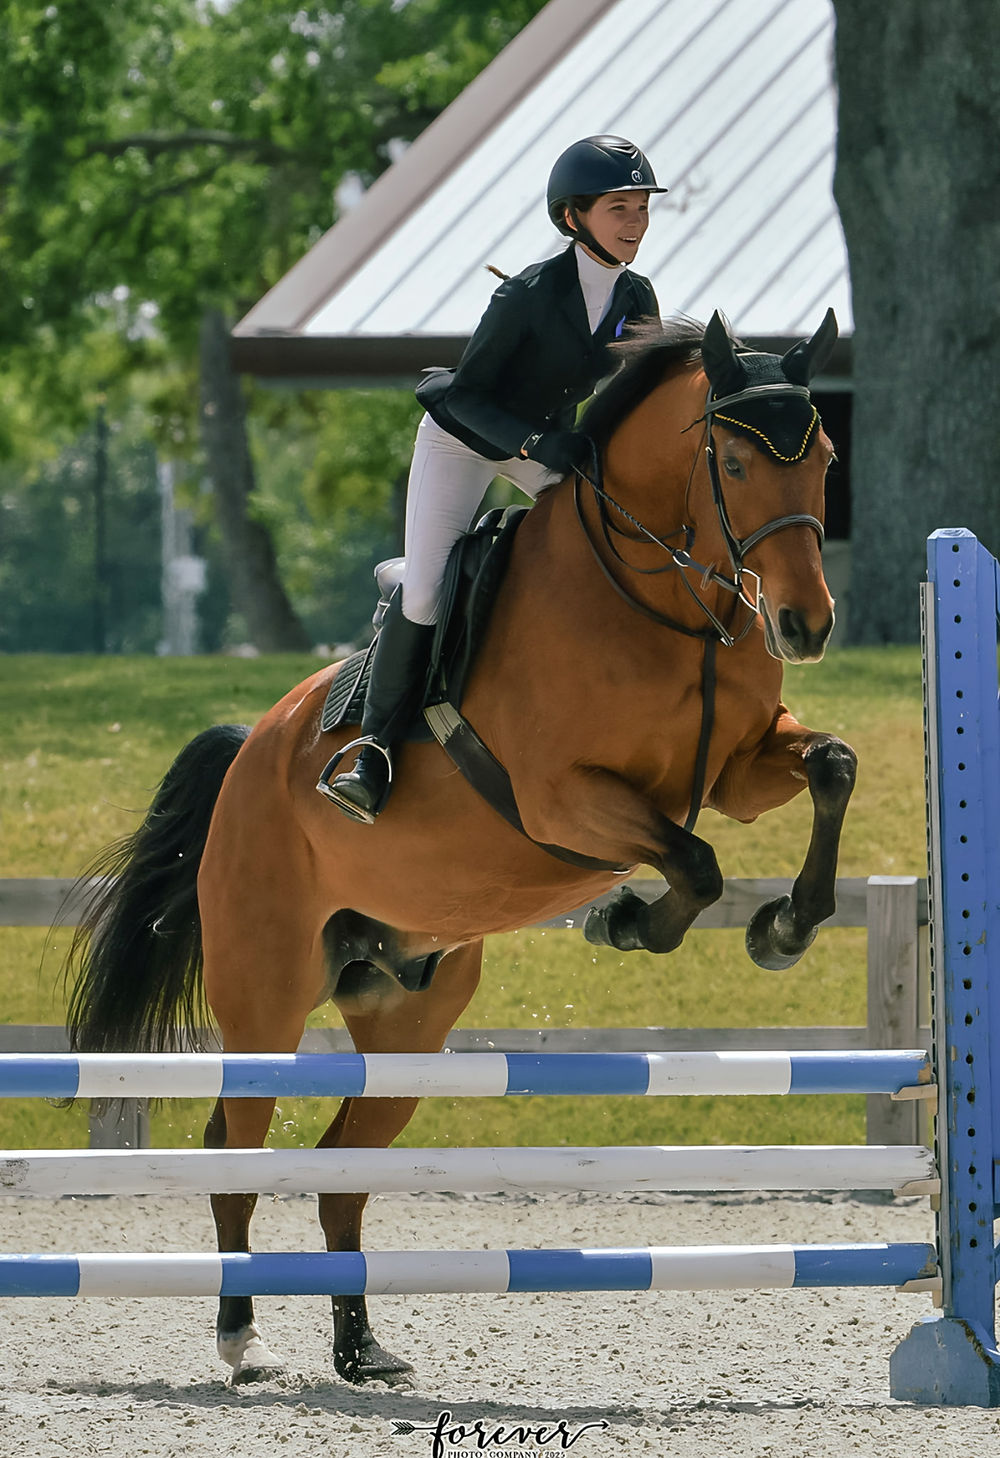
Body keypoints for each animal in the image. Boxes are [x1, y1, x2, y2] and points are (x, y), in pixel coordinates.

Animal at [63, 310, 857, 1386]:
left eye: (821, 458)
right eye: (733, 461)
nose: (804, 624)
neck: (655, 603)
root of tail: (250, 749)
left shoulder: (734, 771)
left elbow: (831, 768)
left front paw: (784, 926)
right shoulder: (563, 797)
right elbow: (692, 863)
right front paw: (628, 920)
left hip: (407, 1016)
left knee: (339, 1168)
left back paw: (362, 1350)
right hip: (266, 991)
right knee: (237, 1142)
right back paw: (242, 1337)